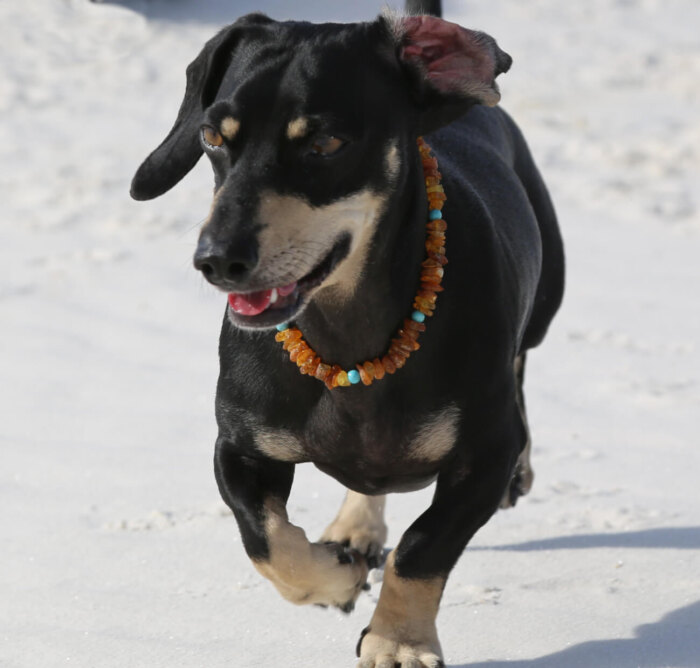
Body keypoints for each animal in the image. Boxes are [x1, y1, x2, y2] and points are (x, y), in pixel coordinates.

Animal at [131, 1, 564, 664]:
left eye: (325, 143)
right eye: (212, 137)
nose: (216, 260)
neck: (347, 336)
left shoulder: (483, 459)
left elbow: (424, 546)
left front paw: (398, 641)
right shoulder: (238, 445)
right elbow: (265, 539)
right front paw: (335, 578)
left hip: (545, 299)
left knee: (522, 363)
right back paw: (356, 531)